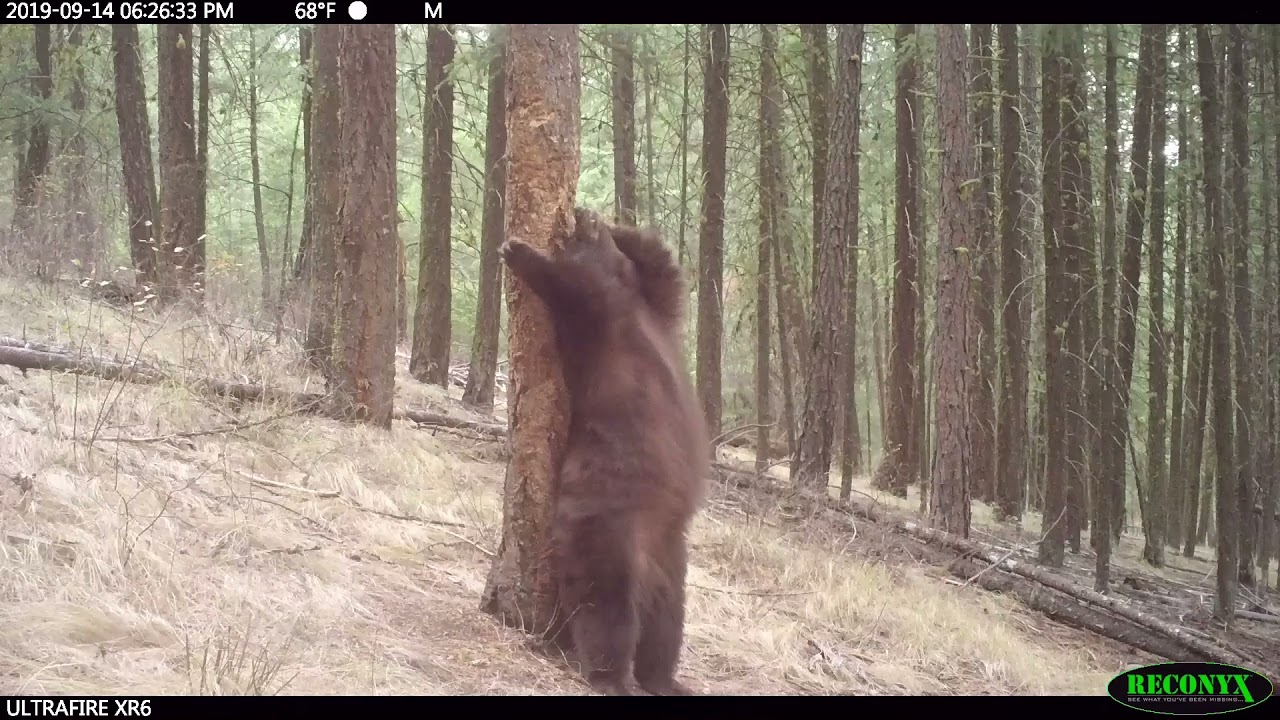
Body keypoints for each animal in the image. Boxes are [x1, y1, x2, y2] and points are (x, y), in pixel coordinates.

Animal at [499, 207, 709, 696]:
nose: (582, 214)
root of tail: (649, 562)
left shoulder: (617, 317)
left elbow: (583, 285)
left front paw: (521, 250)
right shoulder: (629, 321)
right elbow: (654, 272)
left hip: (619, 530)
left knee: (615, 609)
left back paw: (625, 677)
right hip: (648, 547)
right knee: (648, 623)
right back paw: (649, 678)